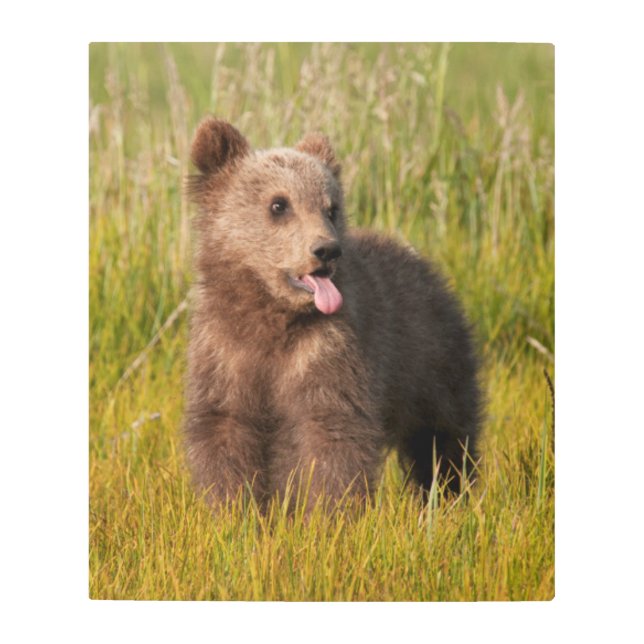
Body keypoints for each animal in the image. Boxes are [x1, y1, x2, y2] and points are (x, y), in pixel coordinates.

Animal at [184, 117, 482, 510]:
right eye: (279, 204)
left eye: (331, 208)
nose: (326, 250)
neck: (272, 315)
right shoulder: (225, 352)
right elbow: (224, 429)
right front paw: (231, 509)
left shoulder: (327, 350)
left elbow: (330, 435)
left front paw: (327, 513)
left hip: (431, 361)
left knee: (442, 437)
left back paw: (449, 495)